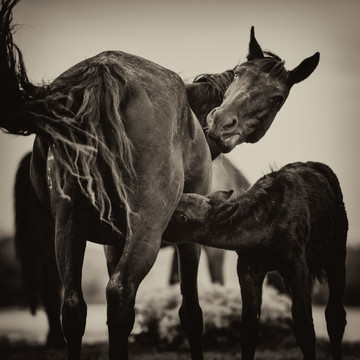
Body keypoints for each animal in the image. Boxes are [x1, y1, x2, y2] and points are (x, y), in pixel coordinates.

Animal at [1, 0, 320, 358]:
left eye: (276, 97)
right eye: (238, 73)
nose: (222, 122)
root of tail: (102, 74)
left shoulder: (113, 241)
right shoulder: (195, 239)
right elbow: (192, 312)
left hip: (68, 224)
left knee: (73, 306)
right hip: (145, 229)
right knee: (120, 292)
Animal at [165, 162, 348, 360]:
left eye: (183, 216)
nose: (161, 227)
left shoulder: (295, 264)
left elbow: (304, 327)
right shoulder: (248, 267)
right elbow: (249, 328)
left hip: (336, 251)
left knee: (335, 315)